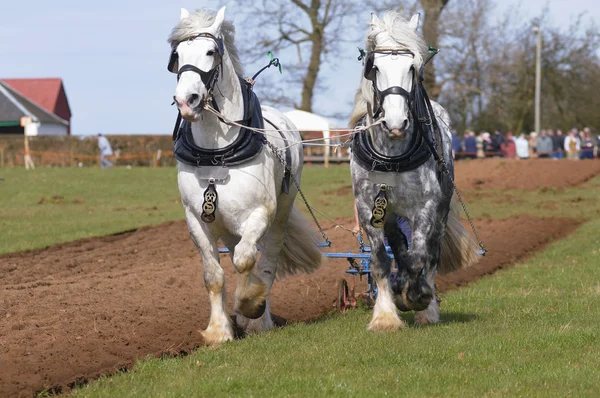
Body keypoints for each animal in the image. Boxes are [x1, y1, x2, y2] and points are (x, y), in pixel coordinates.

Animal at [169, 6, 322, 344]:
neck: (216, 153)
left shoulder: (260, 213)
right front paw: (219, 330)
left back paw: (259, 317)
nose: (186, 101)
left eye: (211, 51)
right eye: (176, 55)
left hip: (280, 214)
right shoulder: (196, 219)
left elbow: (246, 260)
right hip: (228, 225)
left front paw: (249, 304)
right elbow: (213, 275)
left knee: (267, 260)